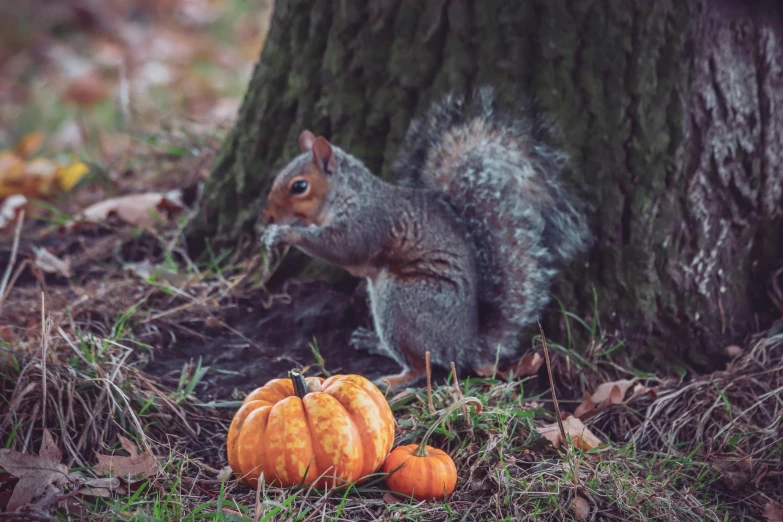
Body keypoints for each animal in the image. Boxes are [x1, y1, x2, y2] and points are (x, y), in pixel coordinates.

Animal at [260, 86, 592, 386]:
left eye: (299, 186)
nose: (267, 217)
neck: (347, 194)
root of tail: (465, 345)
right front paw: (271, 235)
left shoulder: (368, 222)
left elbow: (341, 247)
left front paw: (286, 234)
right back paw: (374, 343)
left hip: (401, 301)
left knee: (425, 366)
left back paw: (394, 379)